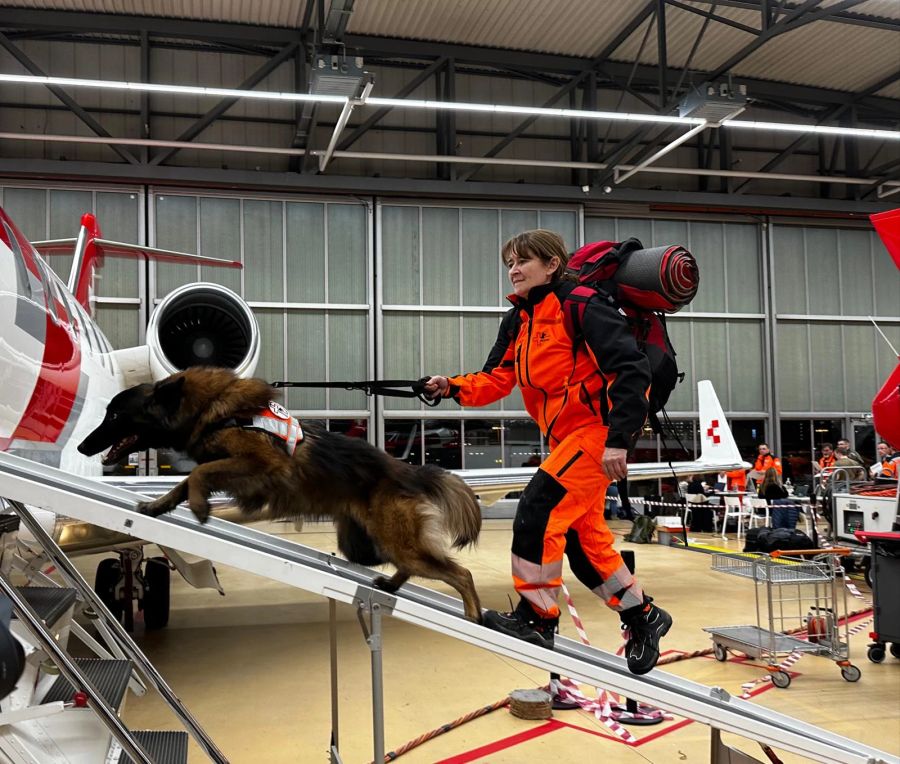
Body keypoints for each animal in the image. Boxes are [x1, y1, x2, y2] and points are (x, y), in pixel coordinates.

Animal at [78, 368, 486, 624]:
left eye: (114, 415)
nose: (83, 446)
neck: (211, 409)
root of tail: (407, 470)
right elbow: (185, 479)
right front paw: (159, 504)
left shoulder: (264, 463)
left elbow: (197, 473)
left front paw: (198, 504)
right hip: (370, 543)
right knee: (410, 563)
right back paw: (391, 584)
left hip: (395, 540)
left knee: (460, 572)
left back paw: (473, 614)